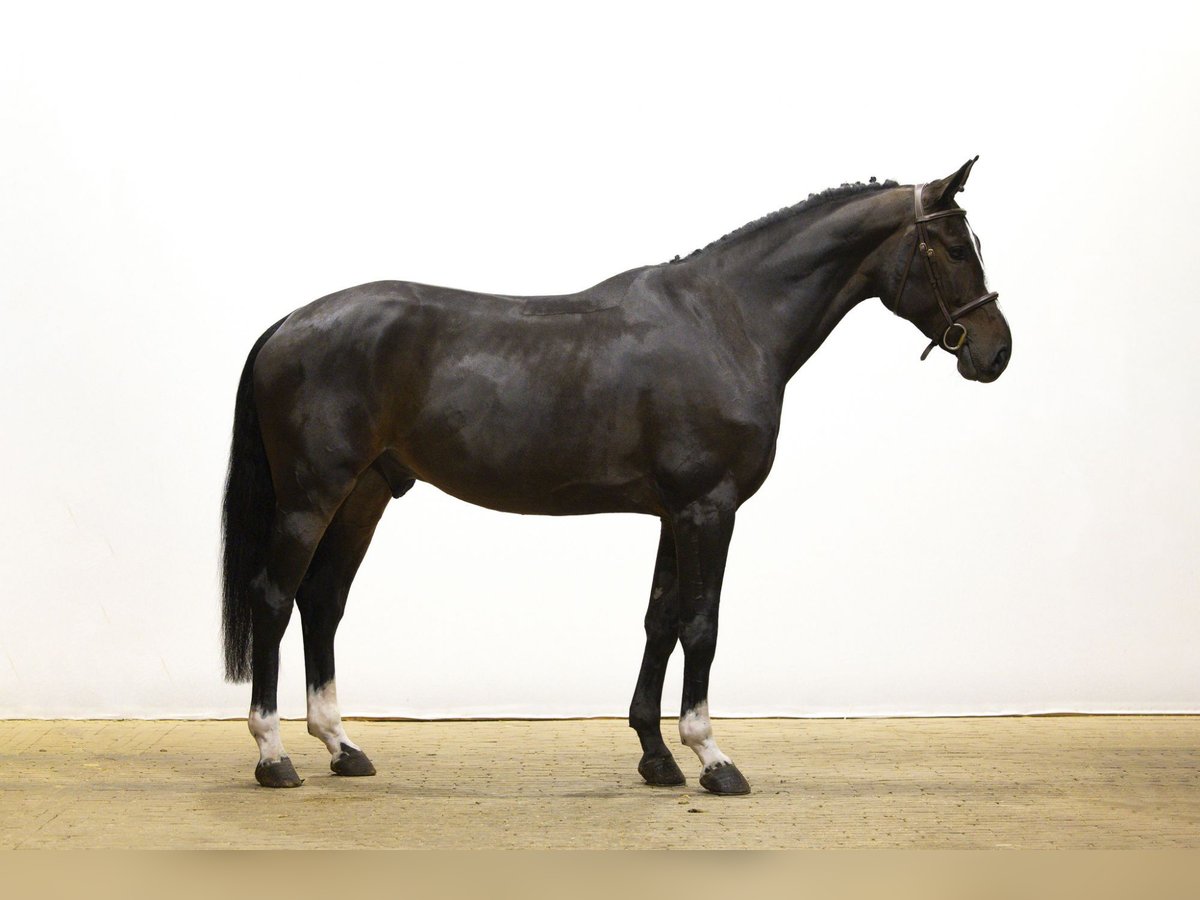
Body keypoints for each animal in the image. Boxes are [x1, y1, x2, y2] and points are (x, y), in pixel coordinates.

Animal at [221, 158, 1010, 794]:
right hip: (311, 497)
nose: (996, 351)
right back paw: (273, 756)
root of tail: (288, 323)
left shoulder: (673, 513)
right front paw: (712, 758)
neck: (726, 321)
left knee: (323, 601)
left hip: (365, 493)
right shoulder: (708, 508)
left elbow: (660, 621)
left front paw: (657, 758)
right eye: (950, 246)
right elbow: (701, 626)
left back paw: (342, 747)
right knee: (274, 598)